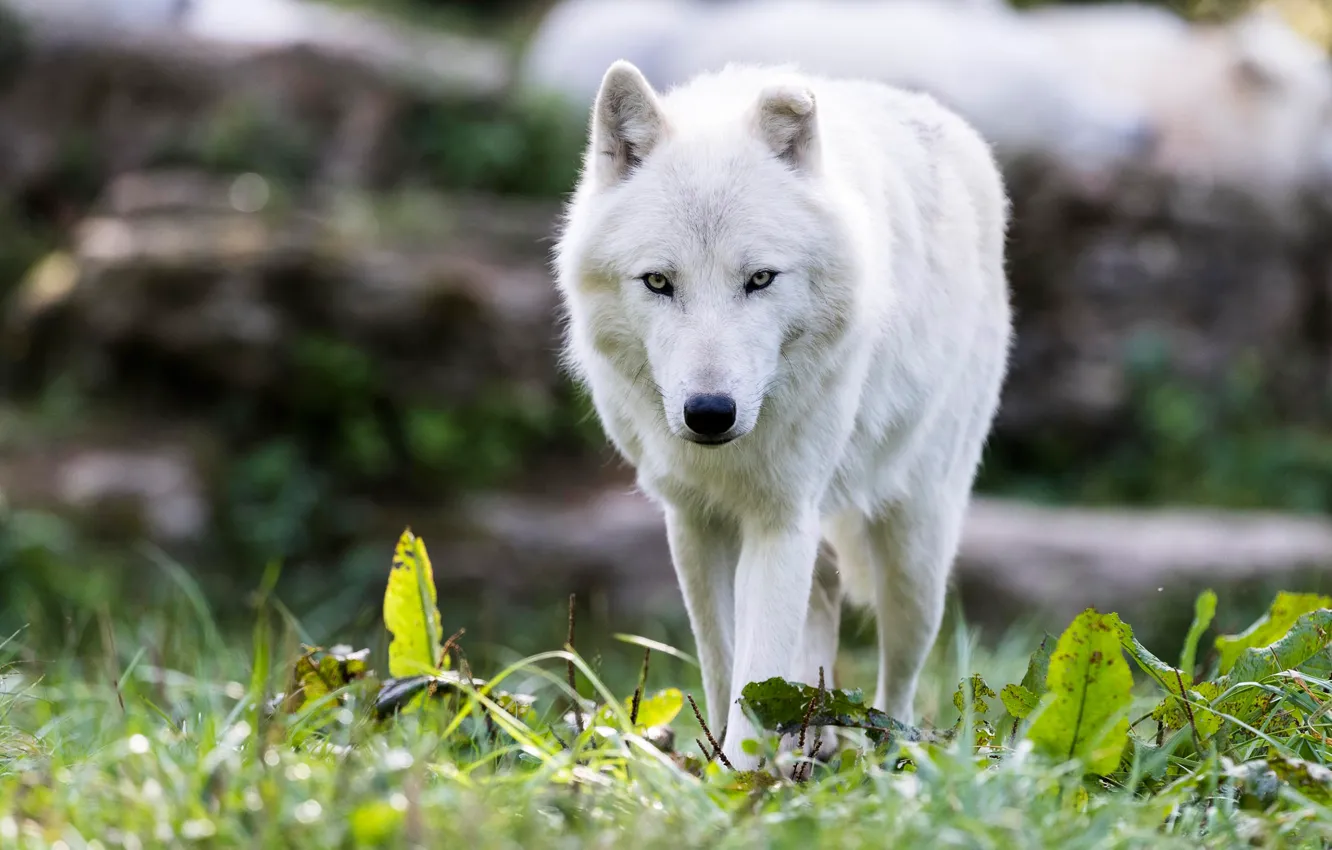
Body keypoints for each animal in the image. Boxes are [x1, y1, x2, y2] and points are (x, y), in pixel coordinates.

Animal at [553, 60, 1013, 770]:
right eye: (658, 282)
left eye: (761, 279)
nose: (709, 414)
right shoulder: (695, 521)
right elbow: (723, 668)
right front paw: (720, 767)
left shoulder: (782, 520)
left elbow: (754, 674)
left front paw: (740, 781)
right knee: (820, 610)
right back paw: (809, 742)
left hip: (916, 553)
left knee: (901, 678)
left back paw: (887, 761)